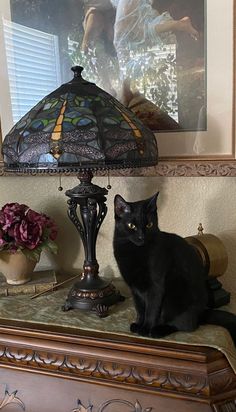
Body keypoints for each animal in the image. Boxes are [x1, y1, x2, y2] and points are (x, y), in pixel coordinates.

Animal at [113, 193, 236, 344]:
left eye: (149, 224)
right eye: (131, 225)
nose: (142, 237)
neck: (135, 251)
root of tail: (202, 312)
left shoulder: (156, 286)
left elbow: (151, 310)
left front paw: (145, 328)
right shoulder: (135, 288)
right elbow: (140, 308)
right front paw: (138, 324)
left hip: (174, 293)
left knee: (185, 325)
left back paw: (158, 330)